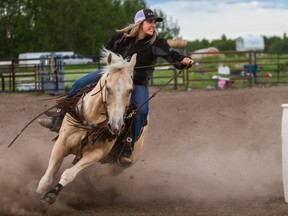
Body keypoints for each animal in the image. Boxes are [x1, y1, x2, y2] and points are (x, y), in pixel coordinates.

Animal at [36, 49, 148, 207]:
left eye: (130, 90)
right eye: (108, 88)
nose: (116, 126)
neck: (92, 118)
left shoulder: (95, 154)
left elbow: (69, 174)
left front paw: (51, 195)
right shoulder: (61, 144)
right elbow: (46, 179)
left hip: (118, 166)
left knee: (96, 175)